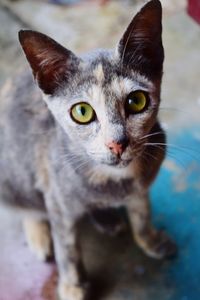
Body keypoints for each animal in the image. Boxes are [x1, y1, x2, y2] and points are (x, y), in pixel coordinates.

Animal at [0, 0, 177, 300]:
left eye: (137, 101)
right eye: (82, 112)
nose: (117, 142)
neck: (115, 181)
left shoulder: (142, 184)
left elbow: (142, 213)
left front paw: (150, 239)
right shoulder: (58, 200)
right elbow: (67, 247)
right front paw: (72, 285)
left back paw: (106, 217)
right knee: (28, 207)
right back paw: (39, 233)